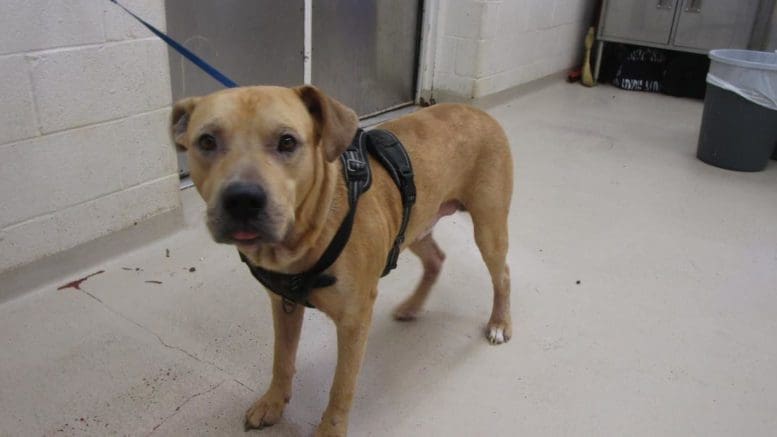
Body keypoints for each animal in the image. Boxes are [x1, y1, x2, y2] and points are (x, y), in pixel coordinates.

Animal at [171, 85, 512, 432]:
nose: (242, 199)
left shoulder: (353, 321)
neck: (312, 230)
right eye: (207, 141)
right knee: (436, 259)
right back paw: (412, 306)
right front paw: (273, 403)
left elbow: (341, 387)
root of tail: (478, 112)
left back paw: (499, 323)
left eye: (287, 142)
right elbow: (282, 359)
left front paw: (330, 430)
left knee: (503, 275)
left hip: (488, 228)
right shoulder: (283, 306)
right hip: (414, 225)